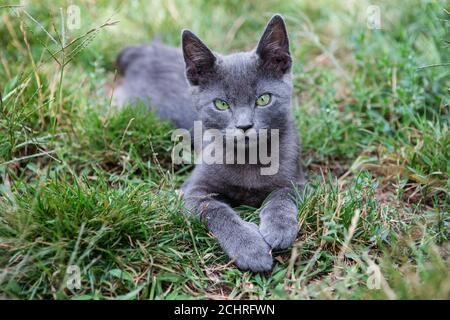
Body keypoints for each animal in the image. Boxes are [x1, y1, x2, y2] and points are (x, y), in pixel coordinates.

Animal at [116, 14, 306, 270]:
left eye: (263, 99)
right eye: (221, 104)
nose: (244, 126)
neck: (248, 159)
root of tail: (143, 50)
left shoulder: (298, 179)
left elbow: (283, 194)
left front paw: (279, 228)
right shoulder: (193, 191)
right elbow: (215, 211)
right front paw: (250, 248)